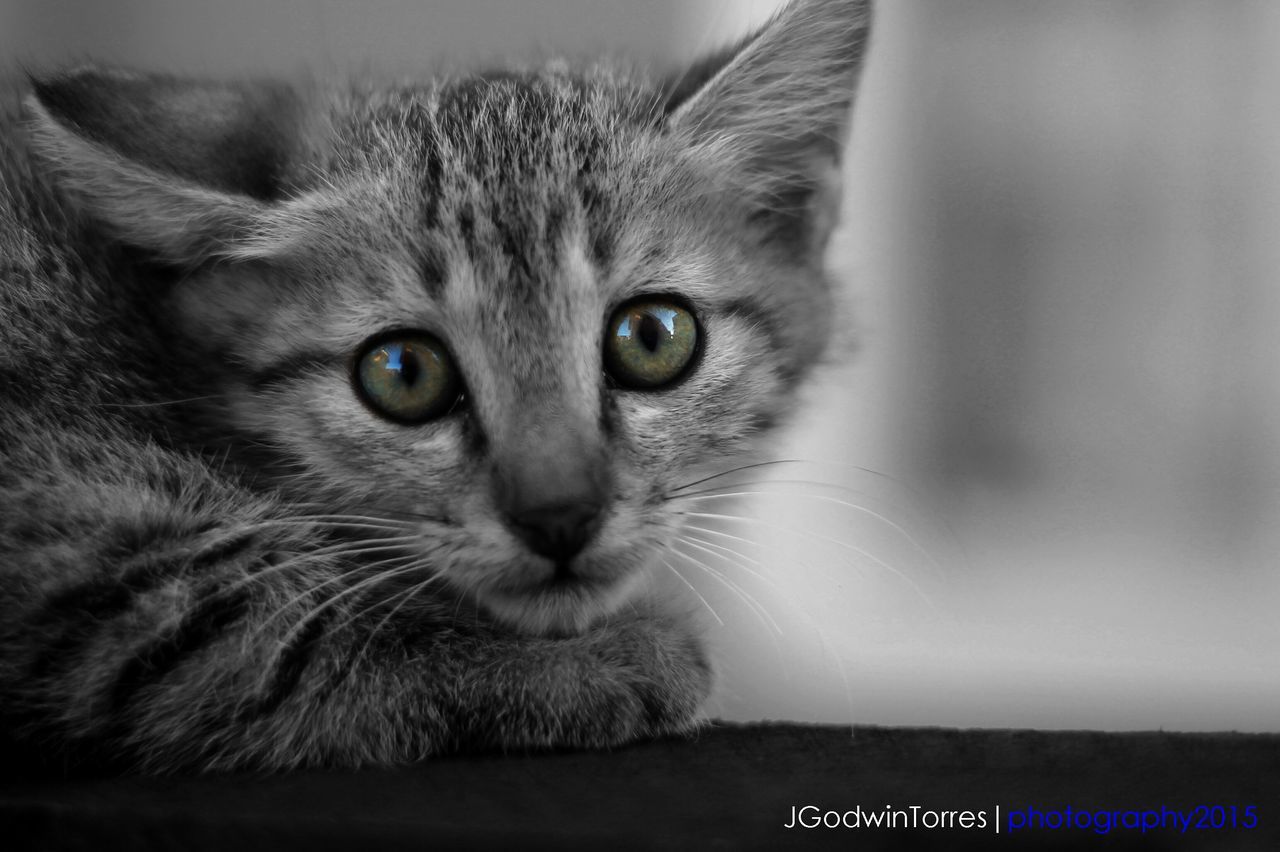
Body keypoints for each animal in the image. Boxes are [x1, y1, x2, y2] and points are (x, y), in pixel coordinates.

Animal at [0, 0, 870, 767]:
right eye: (404, 373)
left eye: (652, 338)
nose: (558, 516)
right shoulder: (77, 536)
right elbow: (267, 638)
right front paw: (599, 664)